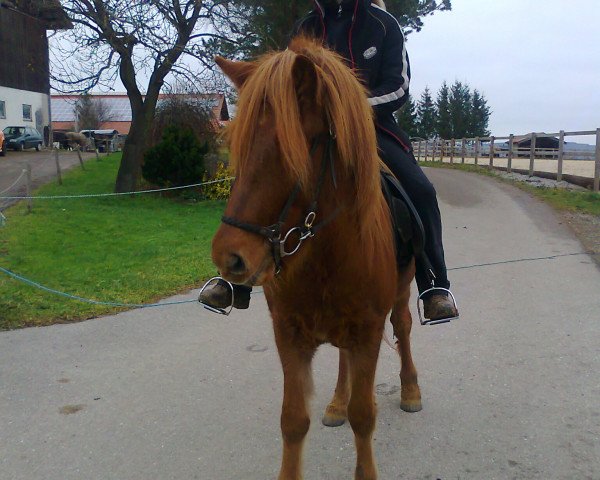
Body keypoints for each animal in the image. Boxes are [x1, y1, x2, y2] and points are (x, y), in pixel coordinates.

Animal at [214, 37, 422, 480]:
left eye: (290, 148)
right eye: (238, 146)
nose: (230, 257)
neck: (323, 256)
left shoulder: (367, 332)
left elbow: (364, 416)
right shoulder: (288, 335)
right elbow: (293, 420)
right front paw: (334, 407)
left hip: (400, 295)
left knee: (404, 327)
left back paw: (411, 389)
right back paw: (336, 403)